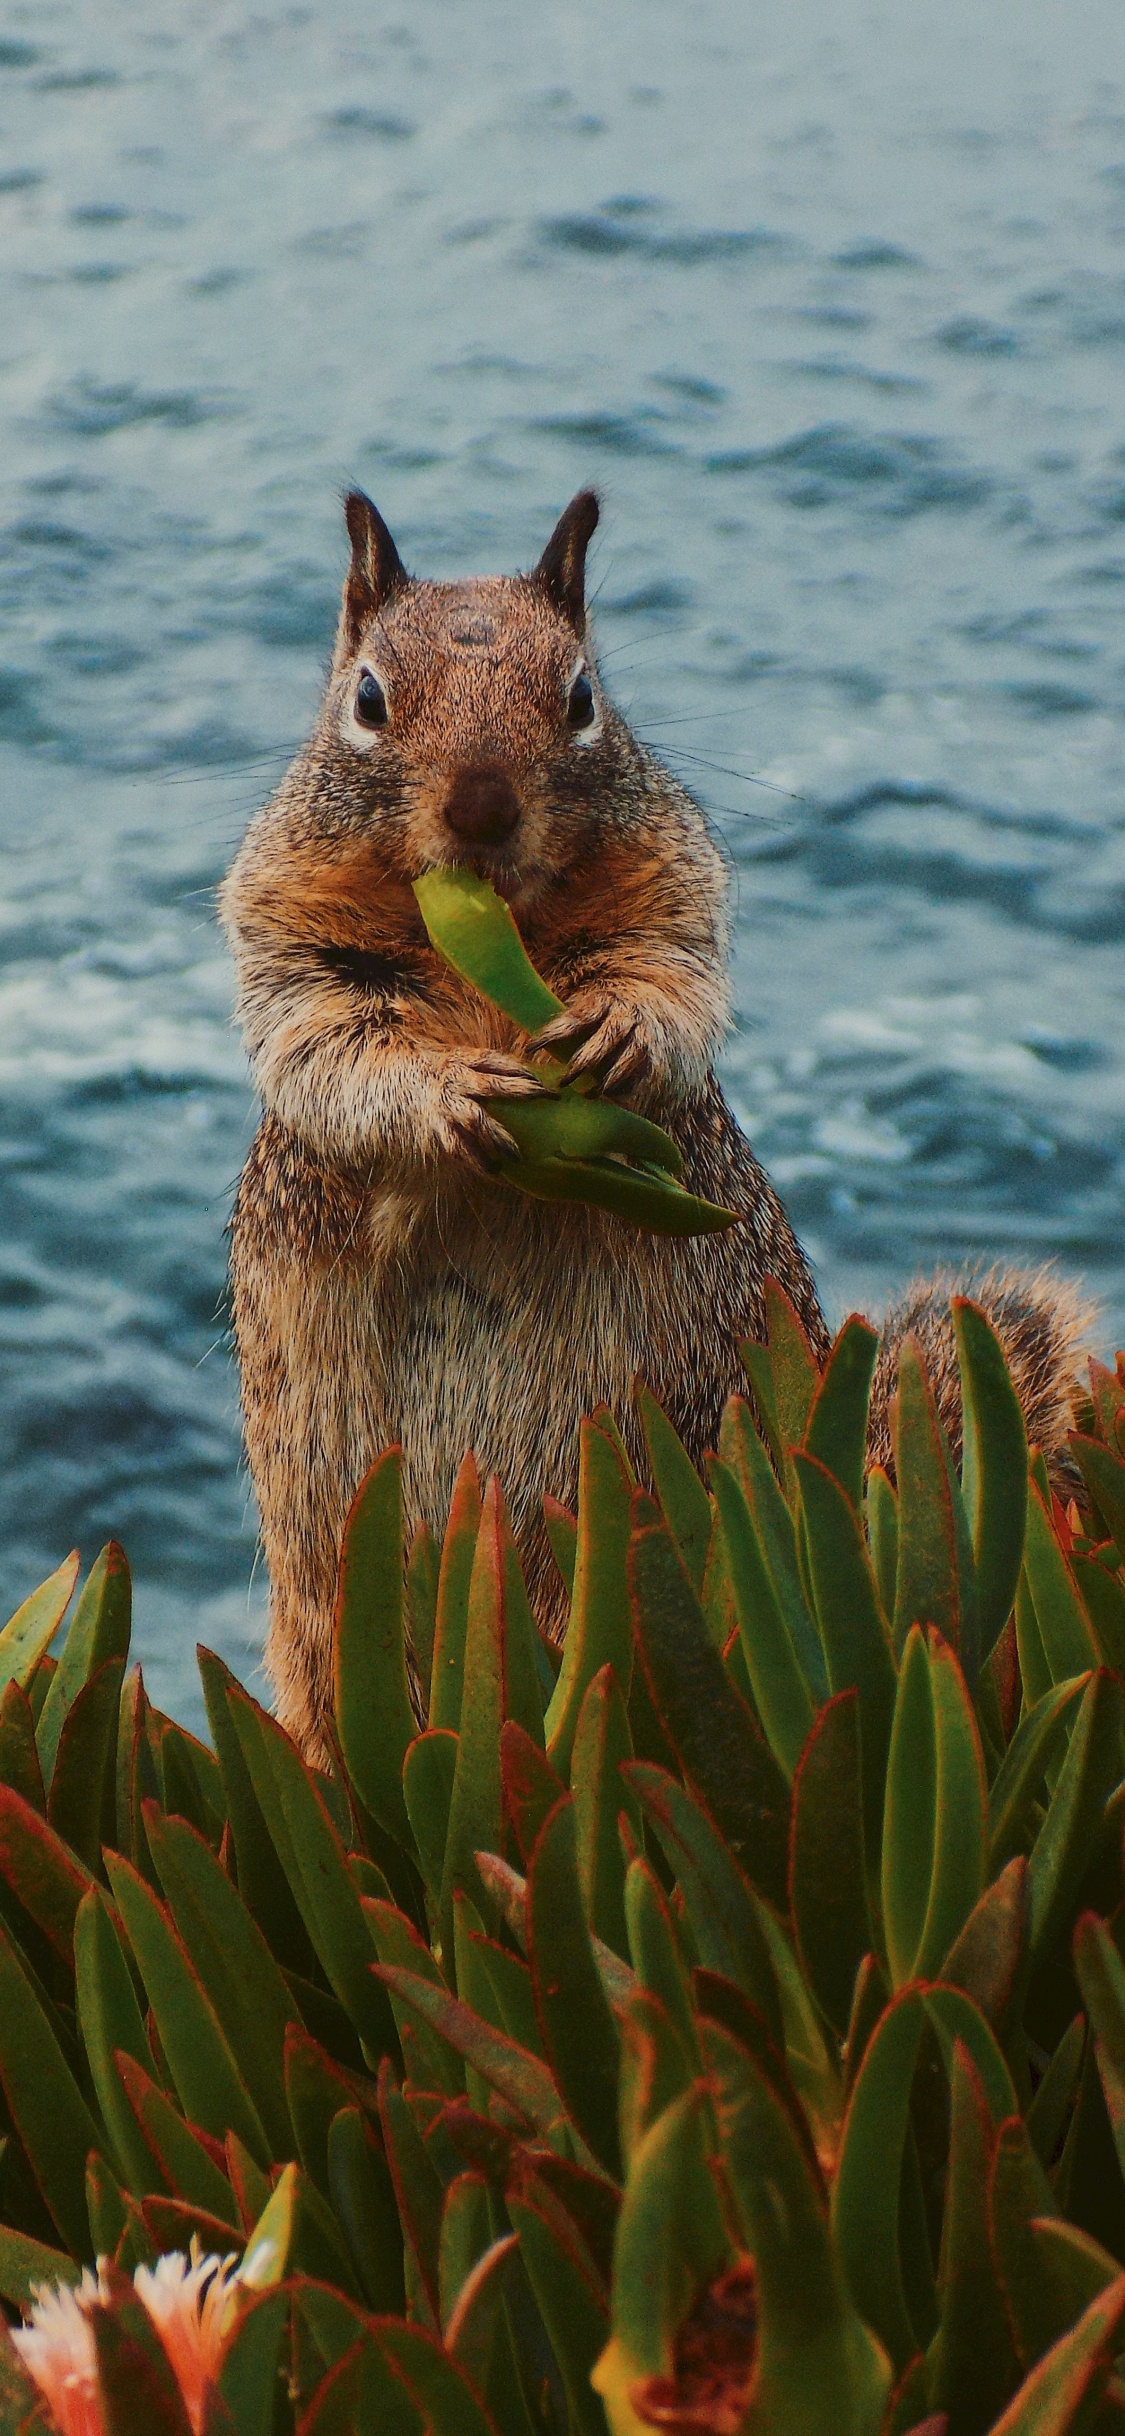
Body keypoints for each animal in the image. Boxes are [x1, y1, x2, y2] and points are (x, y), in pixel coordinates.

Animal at [221, 489, 1093, 1759]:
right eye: (369, 699)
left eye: (583, 696)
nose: (482, 805)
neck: (488, 942)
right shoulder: (287, 935)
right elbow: (326, 1048)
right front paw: (448, 1097)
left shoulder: (674, 887)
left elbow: (673, 977)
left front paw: (620, 1034)